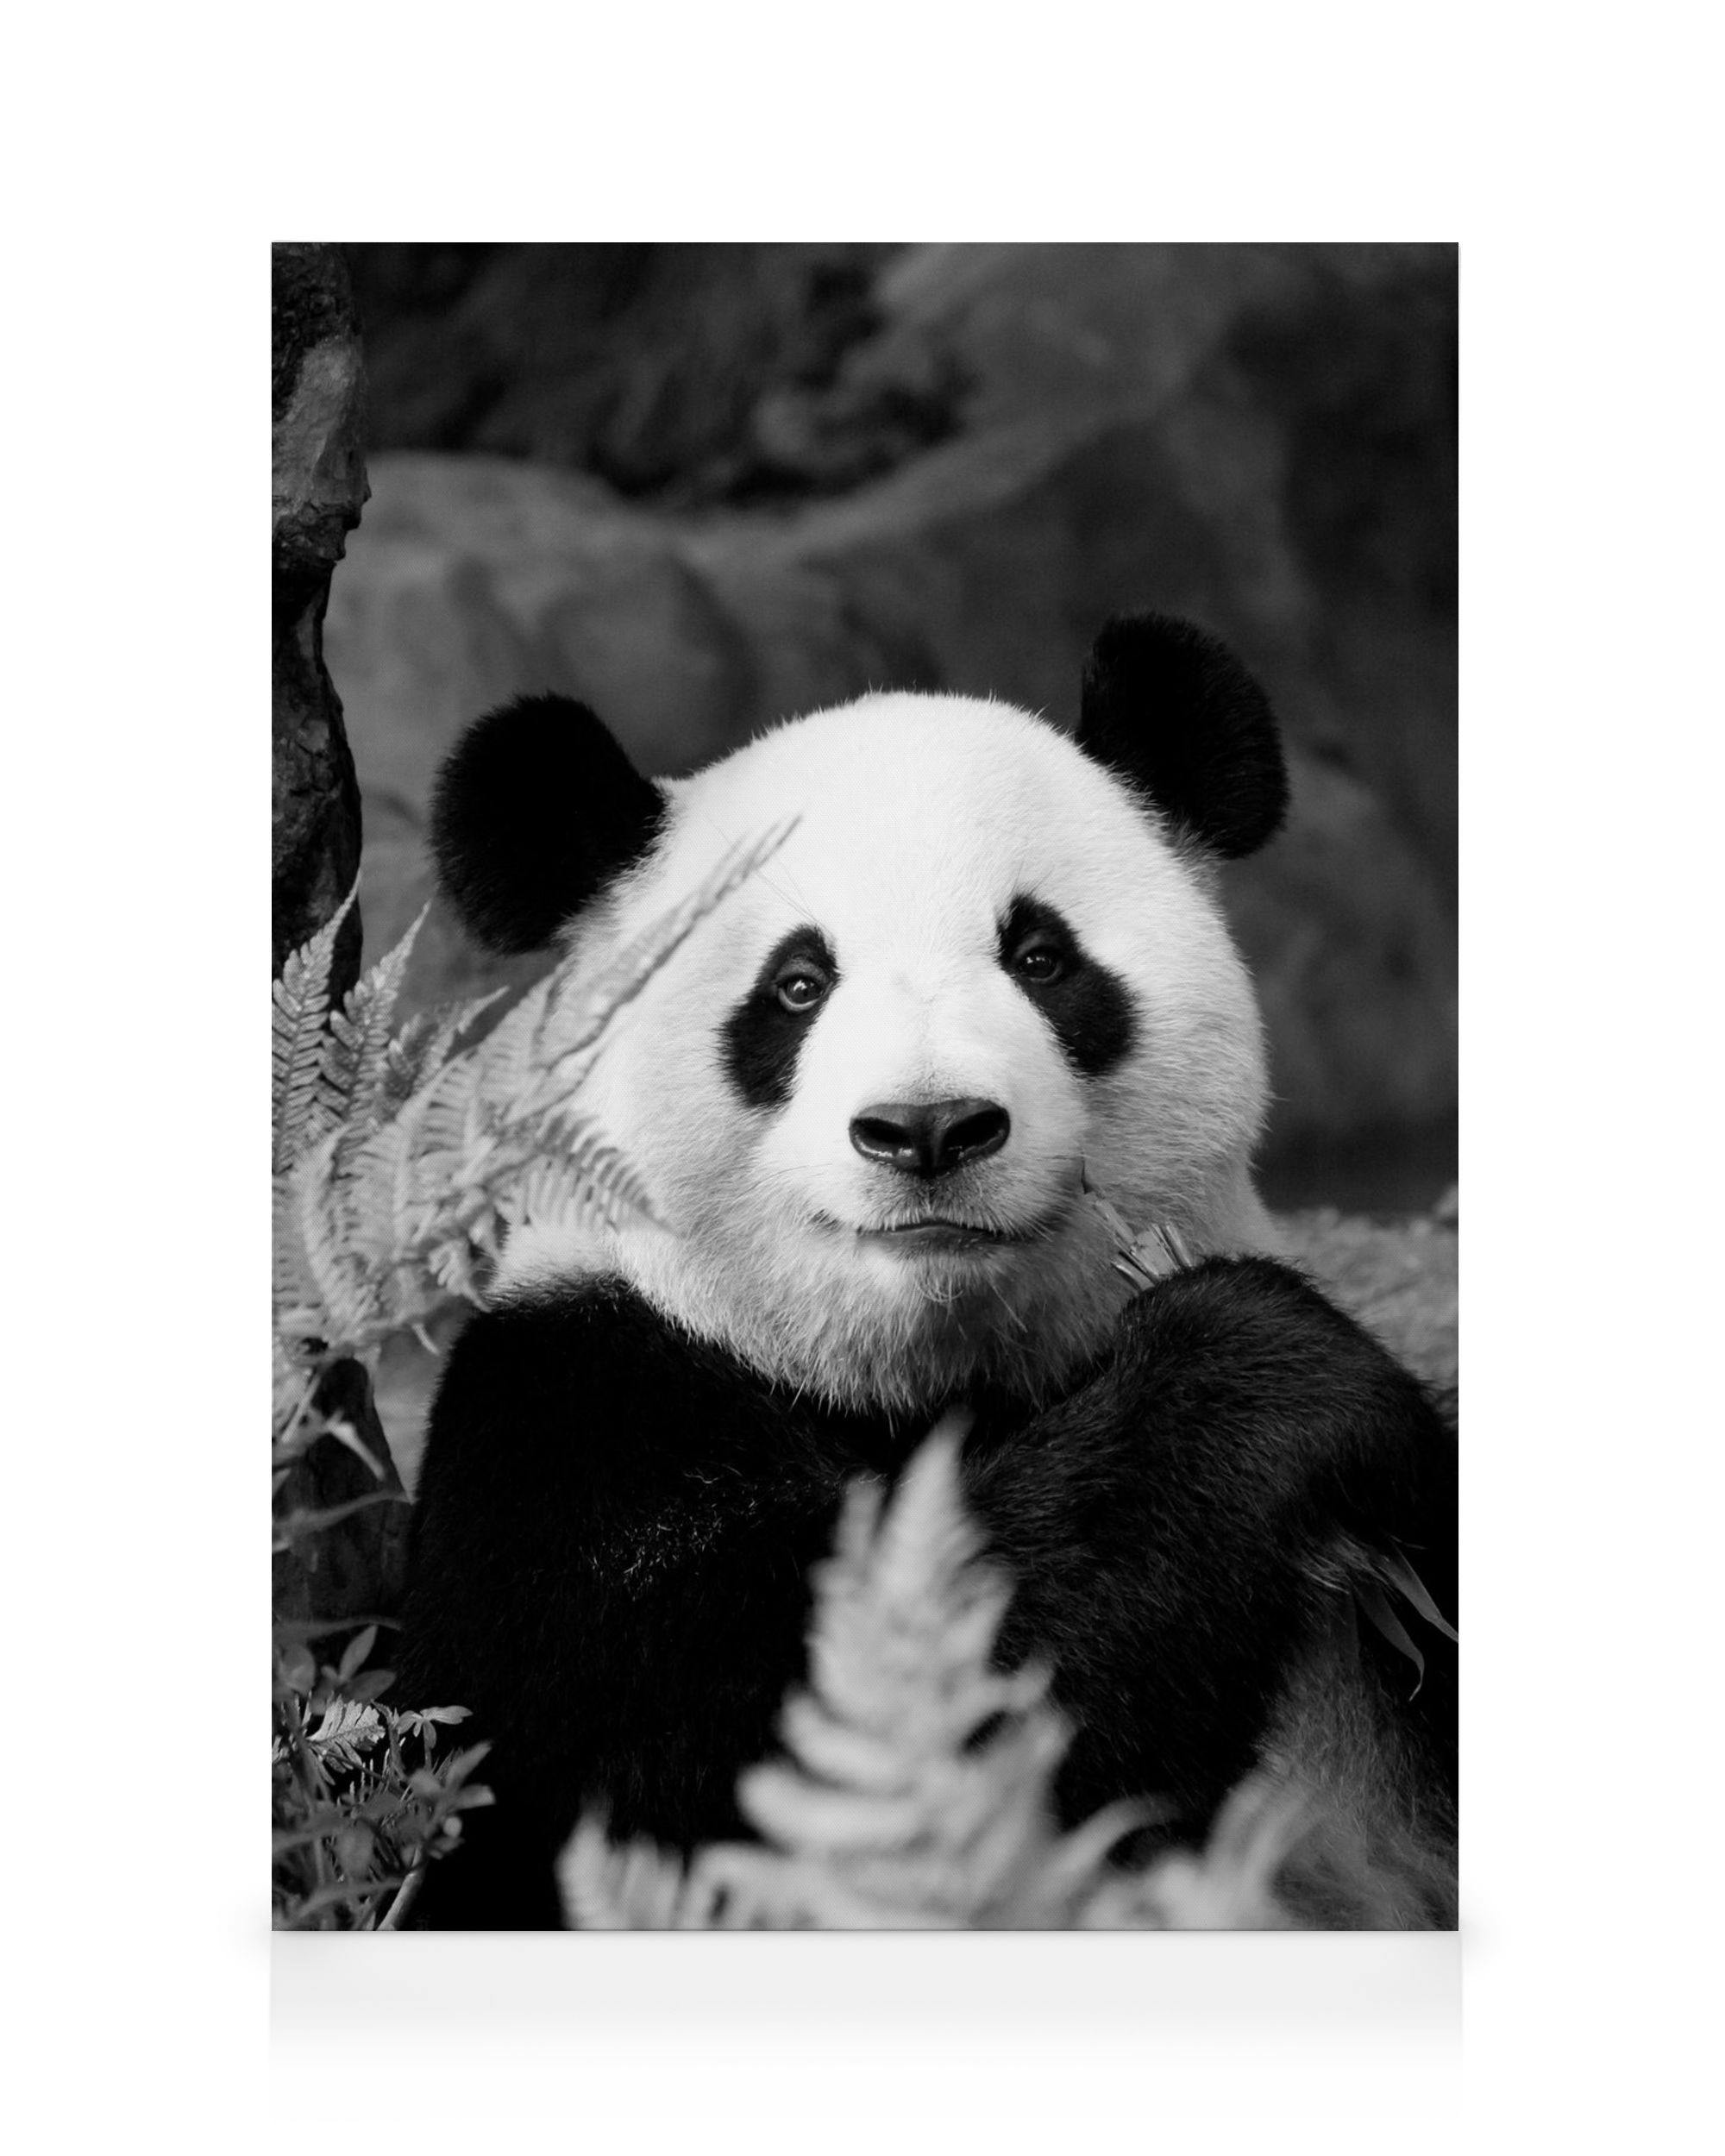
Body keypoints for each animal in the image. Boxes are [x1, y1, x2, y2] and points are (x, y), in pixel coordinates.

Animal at [395, 612, 1458, 1930]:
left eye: (1041, 956)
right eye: (796, 986)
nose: (931, 1128)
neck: (923, 1371)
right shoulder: (571, 1417)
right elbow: (773, 1738)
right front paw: (1260, 1374)